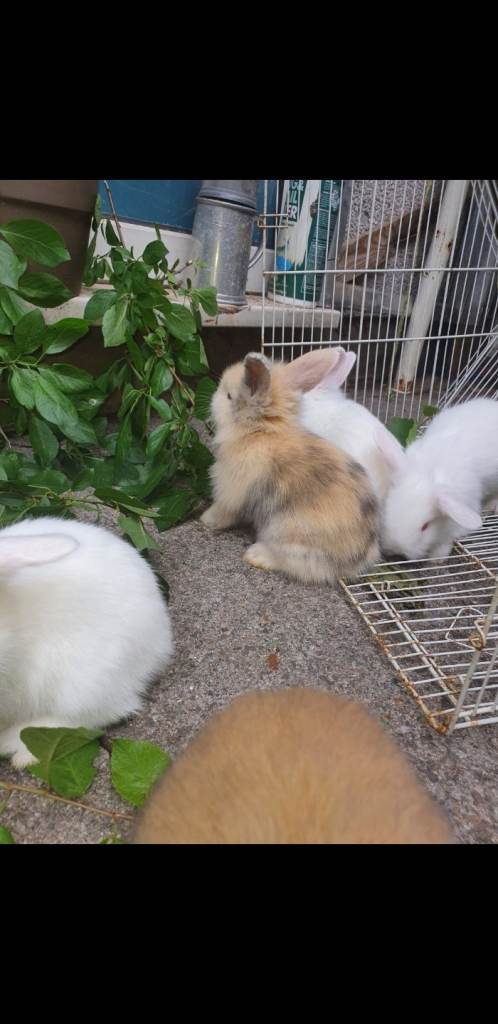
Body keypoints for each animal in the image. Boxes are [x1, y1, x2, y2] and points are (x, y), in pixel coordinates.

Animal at [200, 351, 380, 584]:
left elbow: (223, 511)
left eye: (229, 396)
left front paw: (206, 519)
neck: (260, 431)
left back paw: (256, 555)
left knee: (300, 566)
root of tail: (358, 559)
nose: (212, 397)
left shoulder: (231, 491)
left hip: (286, 534)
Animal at [380, 398, 498, 561]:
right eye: (387, 510)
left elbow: (446, 541)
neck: (428, 472)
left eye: (425, 526)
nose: (394, 550)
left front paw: (437, 559)